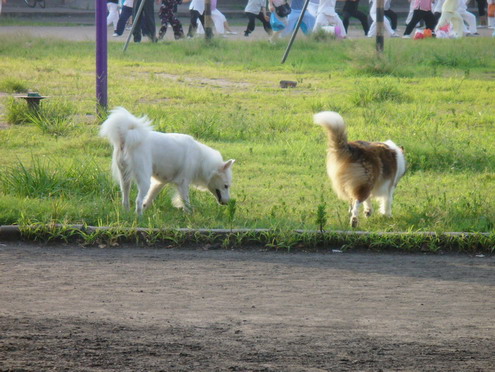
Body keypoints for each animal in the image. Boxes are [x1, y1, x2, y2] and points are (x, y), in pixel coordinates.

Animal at [101, 107, 236, 215]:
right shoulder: (182, 183)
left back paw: (127, 214)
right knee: (138, 200)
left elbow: (148, 200)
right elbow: (186, 202)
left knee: (125, 199)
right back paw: (139, 217)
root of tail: (127, 136)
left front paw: (146, 208)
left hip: (125, 178)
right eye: (226, 186)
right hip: (144, 180)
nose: (227, 203)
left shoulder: (159, 183)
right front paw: (189, 215)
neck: (201, 160)